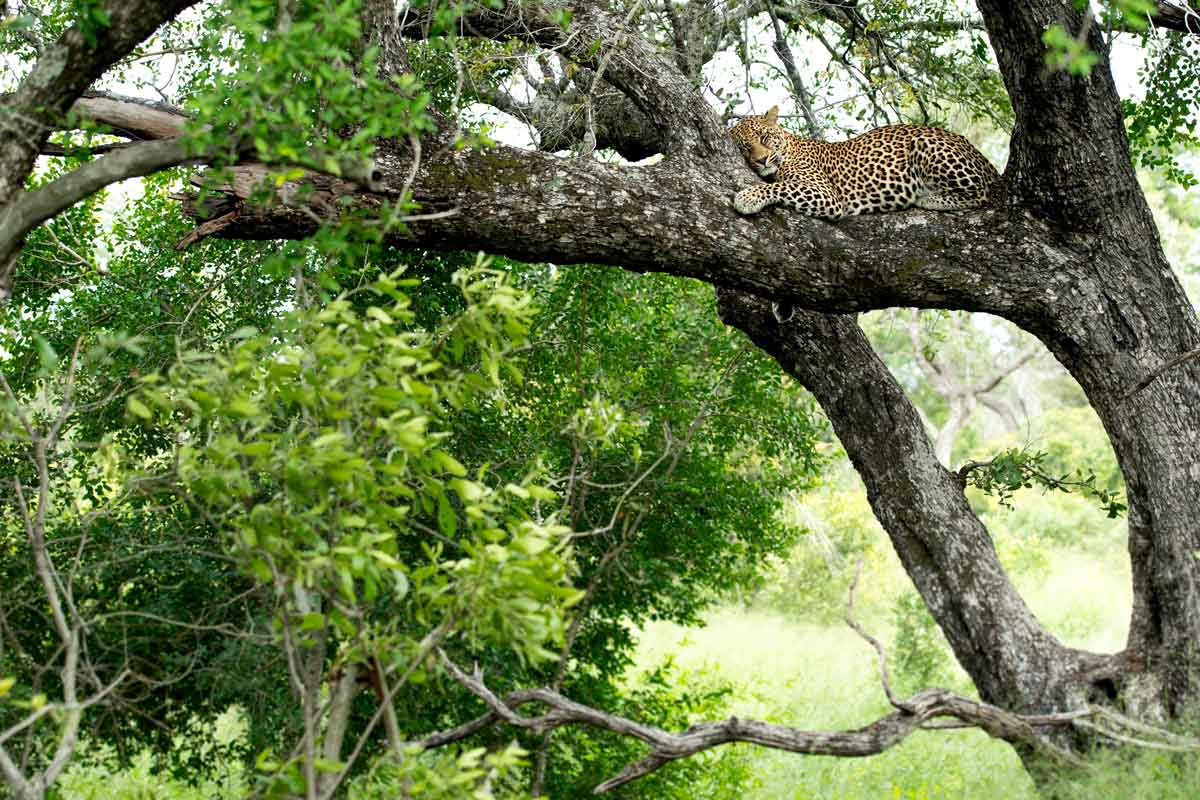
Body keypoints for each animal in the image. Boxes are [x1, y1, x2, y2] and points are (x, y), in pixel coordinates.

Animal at [724, 105, 998, 221]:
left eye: (764, 137)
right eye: (745, 148)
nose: (761, 160)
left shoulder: (826, 195)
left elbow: (781, 186)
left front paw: (748, 197)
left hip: (926, 144)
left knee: (981, 193)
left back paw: (928, 198)